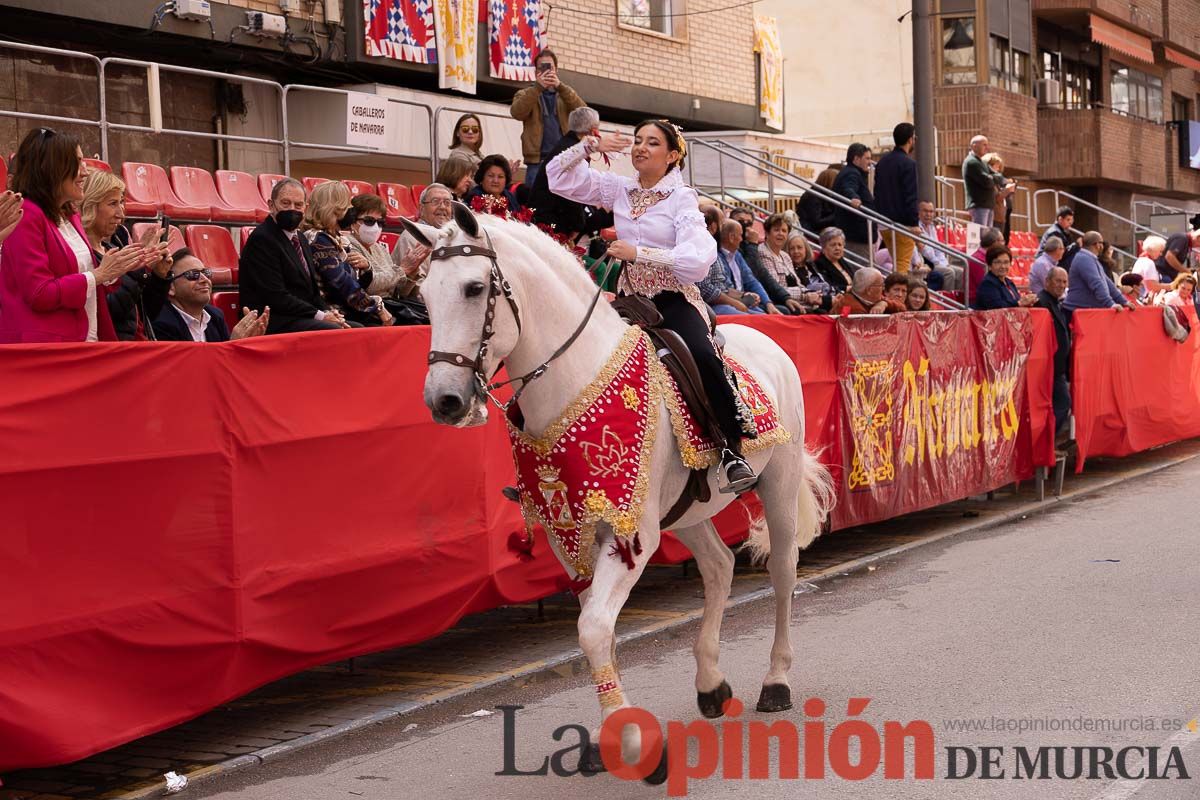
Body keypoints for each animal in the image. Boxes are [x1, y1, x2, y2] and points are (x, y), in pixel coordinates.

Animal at [408, 205, 830, 782]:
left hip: (778, 485)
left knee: (784, 572)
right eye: (425, 295)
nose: (444, 401)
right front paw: (610, 737)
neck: (575, 378)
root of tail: (768, 344)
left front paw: (633, 744)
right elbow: (598, 630)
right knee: (719, 567)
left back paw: (776, 682)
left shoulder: (631, 536)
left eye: (474, 288)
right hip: (686, 512)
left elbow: (592, 629)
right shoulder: (574, 537)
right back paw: (710, 685)